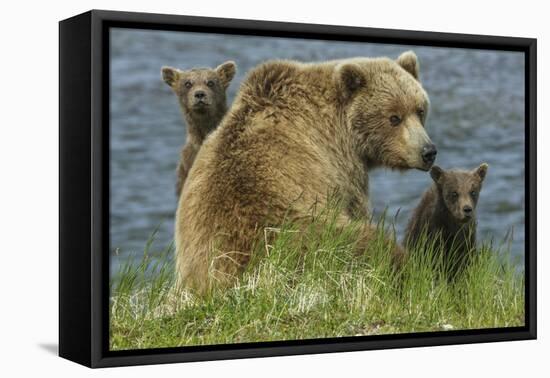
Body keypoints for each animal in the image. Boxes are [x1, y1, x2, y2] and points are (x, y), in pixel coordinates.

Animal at [175, 51, 438, 292]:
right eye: (394, 117)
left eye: (419, 110)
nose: (428, 151)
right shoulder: (341, 168)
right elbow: (357, 207)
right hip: (306, 238)